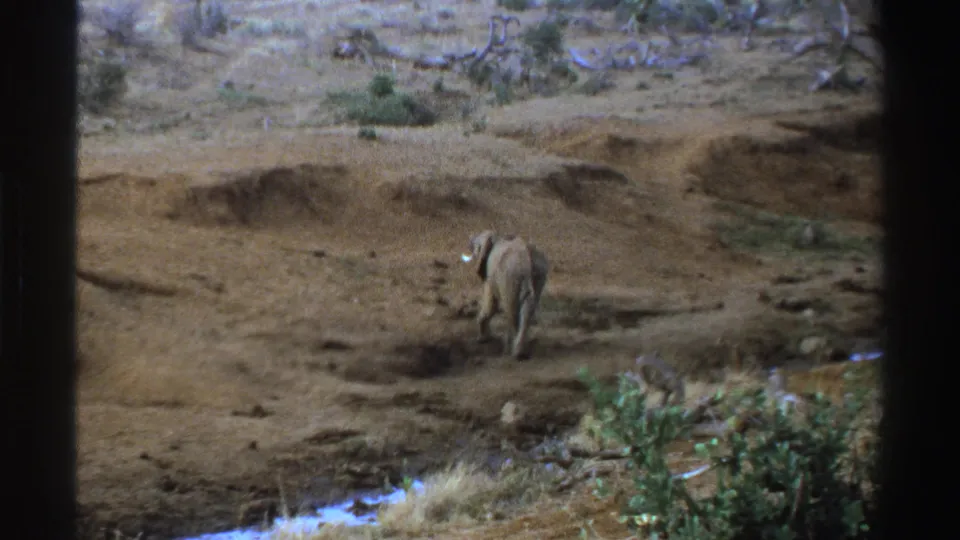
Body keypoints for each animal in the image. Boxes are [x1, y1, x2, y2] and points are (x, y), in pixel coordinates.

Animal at [467, 230, 549, 360]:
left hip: (510, 276)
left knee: (511, 308)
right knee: (528, 307)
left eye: (476, 247)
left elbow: (491, 304)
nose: (470, 238)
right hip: (538, 274)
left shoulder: (491, 276)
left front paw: (482, 340)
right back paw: (522, 352)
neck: (497, 236)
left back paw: (511, 352)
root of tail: (527, 259)